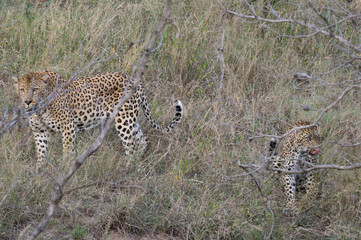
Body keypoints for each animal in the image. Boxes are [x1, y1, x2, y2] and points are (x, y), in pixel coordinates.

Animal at [13, 70, 183, 172]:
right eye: (22, 89)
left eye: (35, 89)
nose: (27, 102)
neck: (40, 108)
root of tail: (136, 80)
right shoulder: (40, 131)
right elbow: (41, 153)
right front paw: (39, 172)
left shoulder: (68, 127)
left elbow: (68, 151)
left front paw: (65, 170)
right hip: (130, 120)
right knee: (143, 141)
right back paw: (137, 164)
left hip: (124, 121)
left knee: (131, 146)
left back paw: (127, 168)